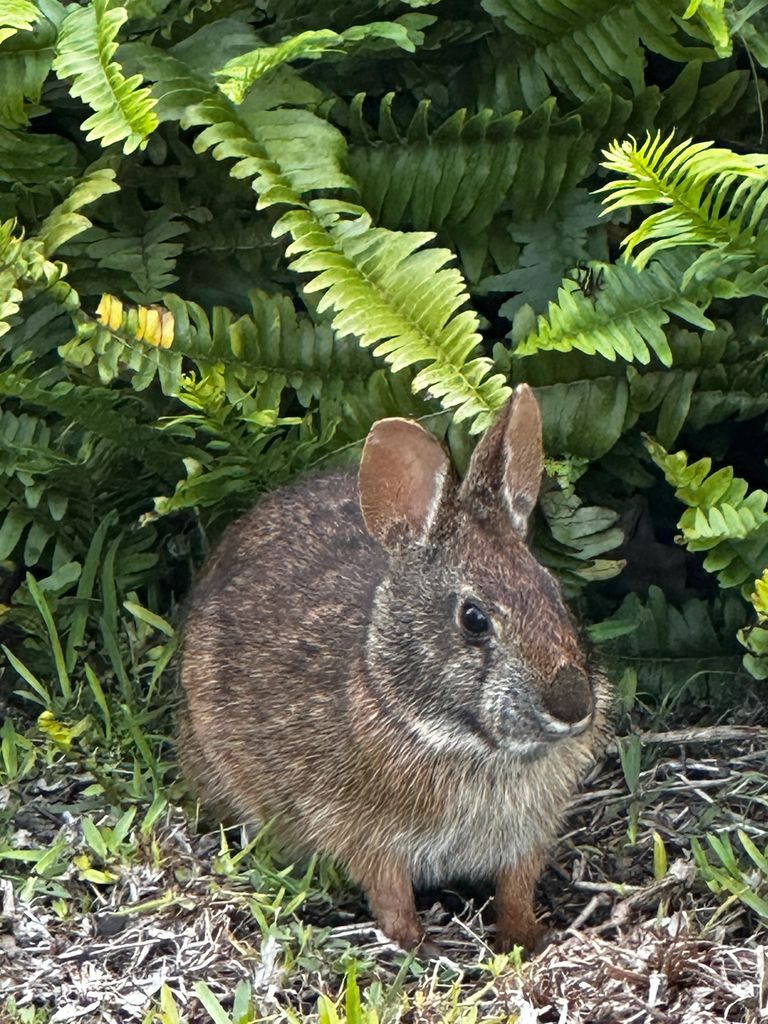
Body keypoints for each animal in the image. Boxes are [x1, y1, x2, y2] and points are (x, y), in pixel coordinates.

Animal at [178, 384, 610, 953]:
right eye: (473, 619)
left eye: (553, 592)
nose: (573, 708)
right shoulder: (361, 830)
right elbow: (389, 895)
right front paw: (416, 943)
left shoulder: (525, 838)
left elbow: (515, 889)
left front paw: (529, 936)